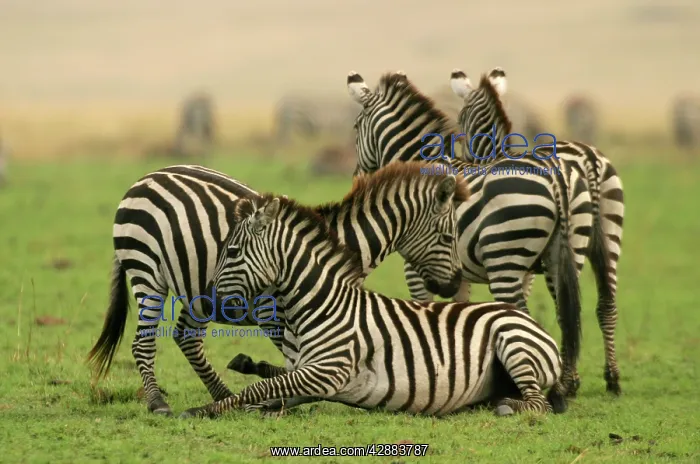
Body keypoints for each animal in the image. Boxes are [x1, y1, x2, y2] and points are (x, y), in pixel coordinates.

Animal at [87, 162, 467, 416]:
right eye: (449, 236)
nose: (452, 286)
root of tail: (148, 176)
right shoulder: (278, 315)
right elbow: (295, 363)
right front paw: (278, 396)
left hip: (194, 295)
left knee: (187, 338)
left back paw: (222, 394)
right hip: (147, 270)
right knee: (144, 342)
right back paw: (158, 402)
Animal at [178, 195, 573, 419]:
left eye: (232, 252)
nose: (206, 300)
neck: (321, 306)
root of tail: (533, 324)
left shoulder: (329, 371)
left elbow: (258, 389)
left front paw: (202, 409)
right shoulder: (312, 378)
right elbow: (268, 392)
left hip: (514, 344)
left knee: (539, 404)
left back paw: (507, 407)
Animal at [346, 70, 590, 397]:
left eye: (356, 126)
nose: (357, 178)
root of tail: (555, 177)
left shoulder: (417, 264)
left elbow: (424, 306)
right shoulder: (454, 271)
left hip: (505, 257)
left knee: (520, 313)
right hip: (566, 256)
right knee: (567, 313)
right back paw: (566, 385)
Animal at [450, 67, 624, 396]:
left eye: (461, 119)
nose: (467, 163)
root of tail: (590, 158)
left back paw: (568, 383)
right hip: (606, 235)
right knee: (601, 304)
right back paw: (611, 379)